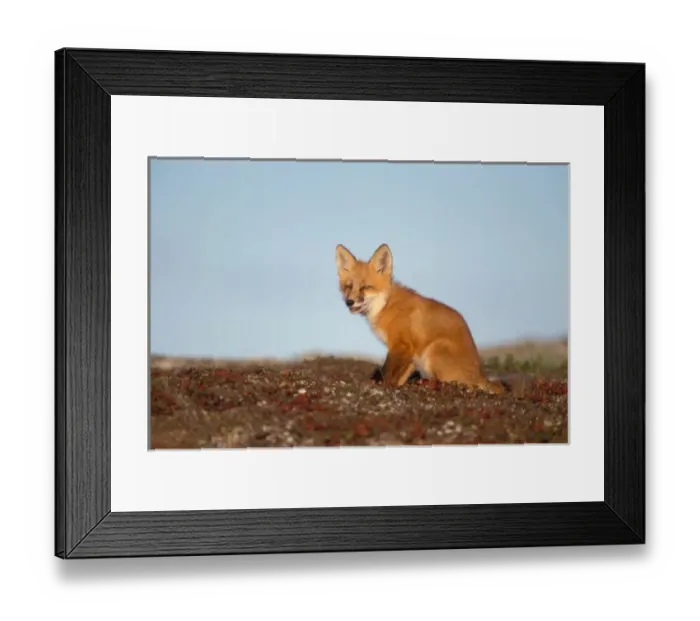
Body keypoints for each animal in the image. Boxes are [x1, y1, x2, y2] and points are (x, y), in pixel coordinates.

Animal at [335, 242, 504, 394]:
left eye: (366, 287)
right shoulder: (411, 353)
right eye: (348, 286)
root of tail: (480, 375)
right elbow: (399, 378)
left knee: (443, 382)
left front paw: (382, 386)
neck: (386, 305)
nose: (349, 302)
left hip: (434, 350)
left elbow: (387, 372)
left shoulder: (401, 345)